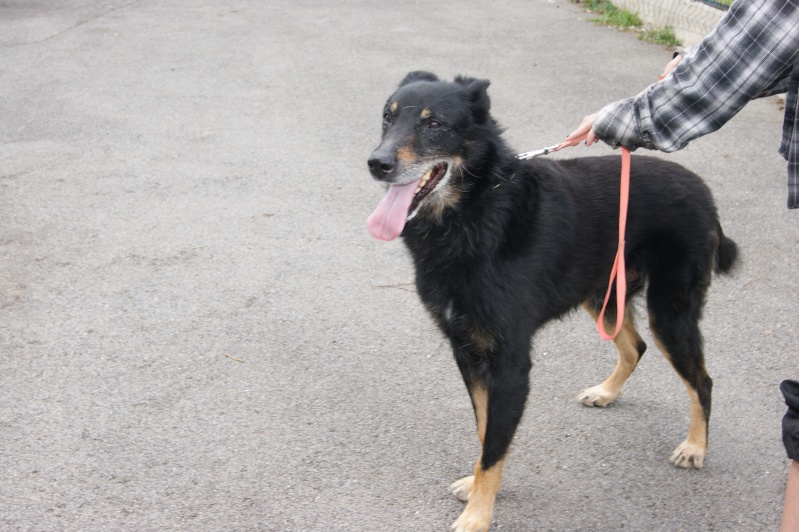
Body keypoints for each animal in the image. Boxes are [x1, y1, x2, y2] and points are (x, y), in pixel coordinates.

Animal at [366, 71, 740, 532]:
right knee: (635, 346)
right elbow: (486, 432)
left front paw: (478, 515)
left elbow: (494, 443)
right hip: (603, 294)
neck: (475, 209)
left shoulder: (510, 363)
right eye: (387, 118)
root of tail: (703, 191)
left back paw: (695, 447)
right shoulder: (468, 350)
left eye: (433, 124)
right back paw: (606, 393)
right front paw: (478, 489)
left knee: (701, 381)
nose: (377, 164)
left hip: (670, 312)